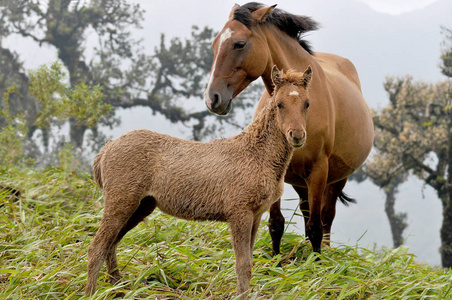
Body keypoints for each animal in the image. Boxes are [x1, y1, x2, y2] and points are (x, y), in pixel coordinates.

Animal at [84, 65, 310, 298]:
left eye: (307, 103)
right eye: (279, 104)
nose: (297, 135)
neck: (256, 154)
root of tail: (105, 149)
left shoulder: (256, 215)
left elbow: (248, 263)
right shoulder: (239, 212)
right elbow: (243, 265)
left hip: (141, 206)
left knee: (111, 244)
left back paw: (118, 288)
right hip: (120, 202)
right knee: (97, 247)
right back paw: (90, 293)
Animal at [205, 2, 374, 255]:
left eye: (240, 43)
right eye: (215, 44)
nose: (212, 99)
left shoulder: (319, 170)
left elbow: (316, 227)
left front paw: (317, 263)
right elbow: (276, 224)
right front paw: (276, 261)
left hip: (336, 179)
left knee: (326, 217)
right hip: (301, 182)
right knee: (307, 212)